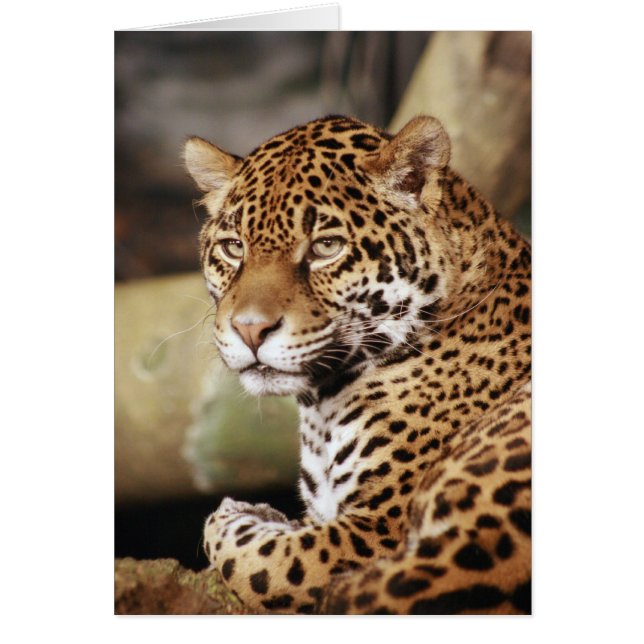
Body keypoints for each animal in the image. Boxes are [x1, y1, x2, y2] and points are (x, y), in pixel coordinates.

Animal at [182, 114, 531, 614]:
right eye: (233, 248)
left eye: (326, 247)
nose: (249, 330)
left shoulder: (372, 534)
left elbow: (261, 561)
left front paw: (244, 512)